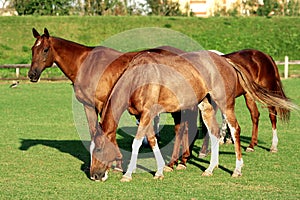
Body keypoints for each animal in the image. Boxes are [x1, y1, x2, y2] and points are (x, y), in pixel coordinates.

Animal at [28, 28, 197, 175]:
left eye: (45, 49)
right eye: (32, 49)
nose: (32, 74)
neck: (87, 65)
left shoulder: (101, 105)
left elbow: (108, 133)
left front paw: (117, 164)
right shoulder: (91, 106)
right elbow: (95, 132)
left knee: (182, 129)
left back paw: (175, 162)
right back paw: (180, 161)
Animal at [89, 49, 296, 182]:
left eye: (99, 149)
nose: (94, 175)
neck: (138, 78)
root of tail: (225, 60)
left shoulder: (147, 114)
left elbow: (137, 143)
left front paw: (128, 174)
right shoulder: (144, 116)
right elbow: (152, 140)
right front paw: (161, 170)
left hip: (226, 104)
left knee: (235, 128)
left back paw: (237, 168)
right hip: (206, 106)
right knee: (214, 132)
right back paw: (210, 168)